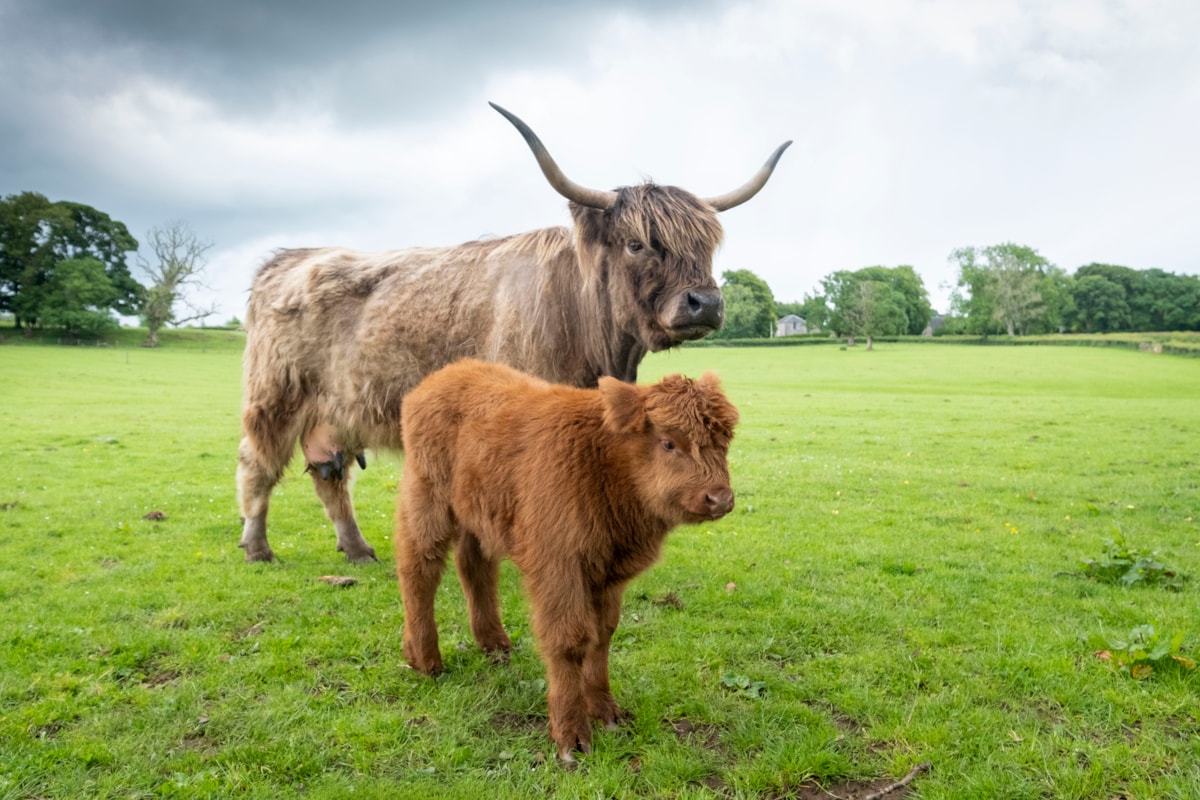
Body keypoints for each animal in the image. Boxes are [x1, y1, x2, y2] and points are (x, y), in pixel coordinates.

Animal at [237, 102, 786, 563]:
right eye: (636, 244)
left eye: (707, 245)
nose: (706, 303)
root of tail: (285, 260)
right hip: (274, 399)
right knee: (257, 466)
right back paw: (258, 548)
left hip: (334, 414)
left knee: (331, 480)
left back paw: (358, 551)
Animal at [394, 358, 739, 761]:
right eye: (669, 443)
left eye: (724, 441)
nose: (720, 498)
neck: (603, 462)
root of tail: (449, 373)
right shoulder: (560, 569)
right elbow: (569, 641)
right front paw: (571, 735)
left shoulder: (607, 573)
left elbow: (602, 635)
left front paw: (606, 710)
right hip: (427, 500)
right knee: (419, 568)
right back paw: (424, 659)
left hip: (477, 513)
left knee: (475, 567)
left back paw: (493, 643)